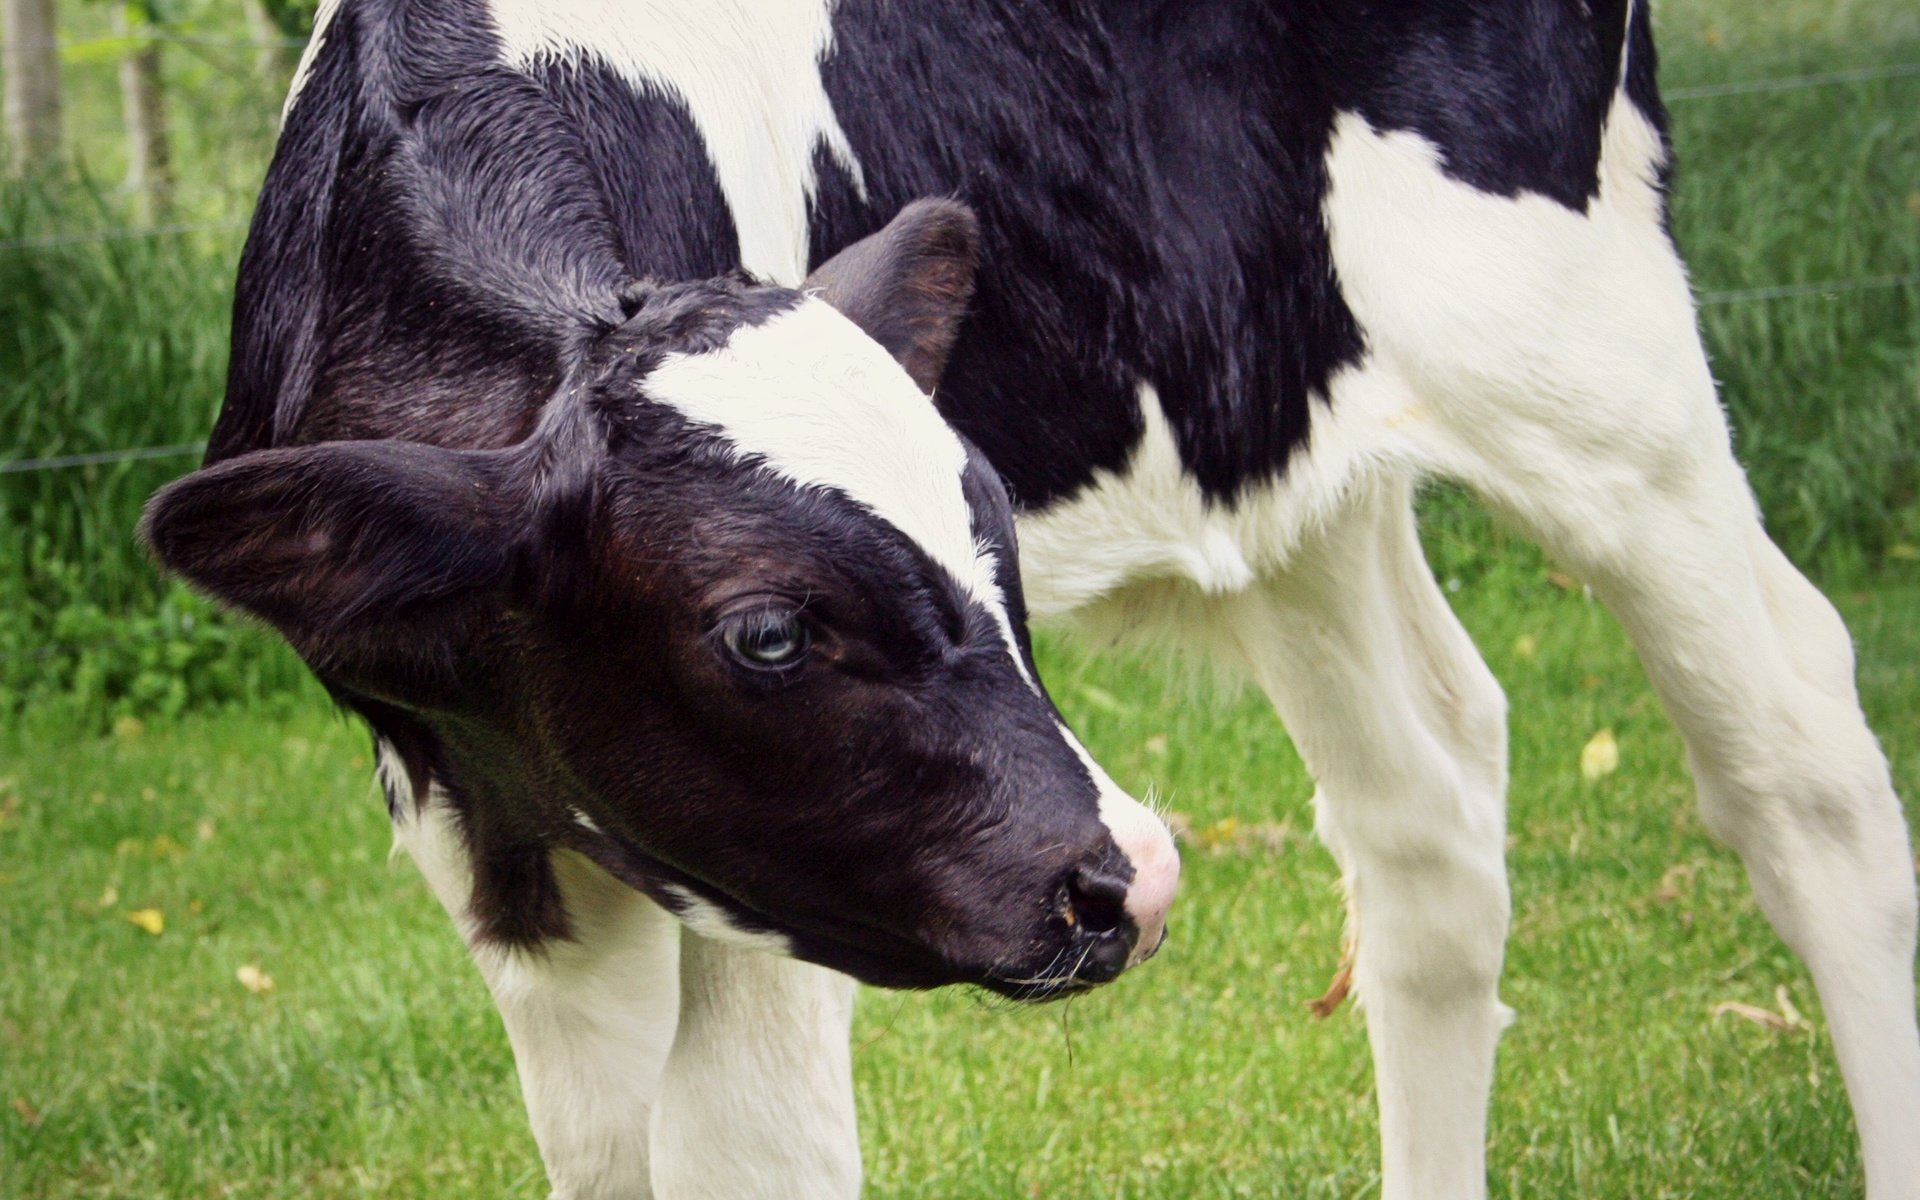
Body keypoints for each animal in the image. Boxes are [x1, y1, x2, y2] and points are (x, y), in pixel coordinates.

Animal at [145, 0, 1920, 1190]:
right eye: (766, 631)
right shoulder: (489, 833)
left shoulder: (766, 909)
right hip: (1279, 453)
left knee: (1799, 760)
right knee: (1421, 806)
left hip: (1587, 358)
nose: (1128, 879)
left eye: (993, 534)